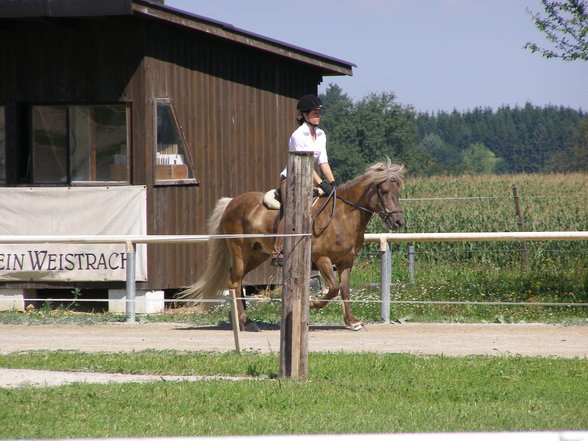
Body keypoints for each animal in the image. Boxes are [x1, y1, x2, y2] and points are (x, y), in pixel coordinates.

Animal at [180, 158, 404, 330]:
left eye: (398, 191)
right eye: (384, 191)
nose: (398, 222)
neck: (342, 216)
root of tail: (231, 202)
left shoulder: (345, 262)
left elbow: (345, 290)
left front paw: (352, 322)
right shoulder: (322, 259)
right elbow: (333, 289)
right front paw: (313, 304)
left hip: (256, 254)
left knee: (238, 280)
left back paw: (243, 319)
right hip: (239, 251)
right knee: (234, 282)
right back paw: (244, 322)